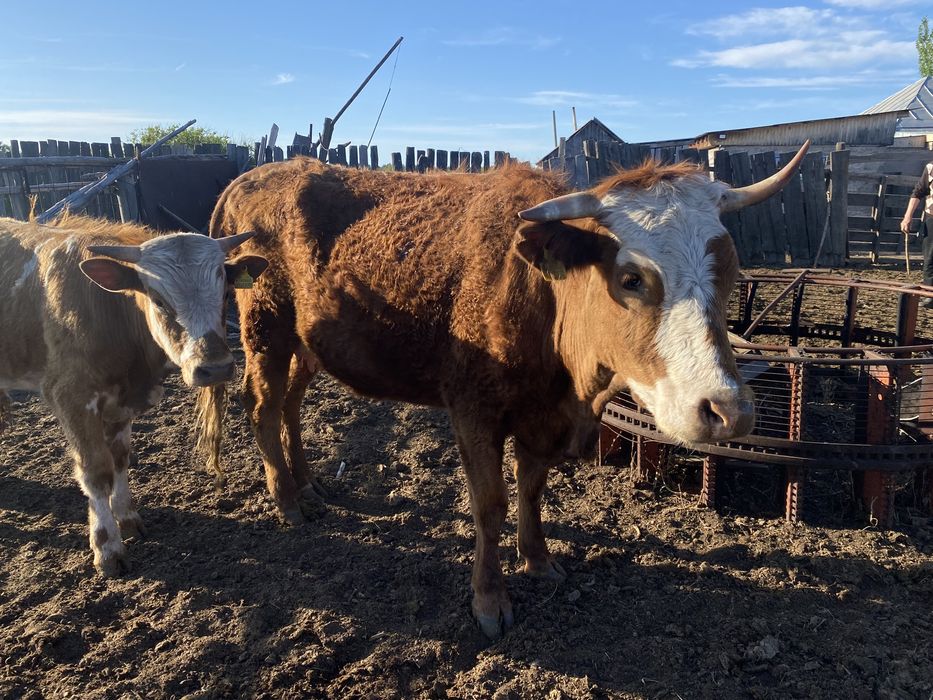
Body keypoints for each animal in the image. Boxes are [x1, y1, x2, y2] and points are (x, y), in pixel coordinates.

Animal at [0, 214, 267, 576]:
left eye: (225, 292)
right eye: (157, 299)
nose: (215, 368)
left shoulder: (121, 404)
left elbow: (120, 459)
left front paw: (126, 518)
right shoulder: (71, 397)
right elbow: (96, 472)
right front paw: (107, 546)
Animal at [200, 142, 808, 637]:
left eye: (730, 274)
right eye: (631, 278)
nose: (727, 410)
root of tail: (249, 178)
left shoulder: (546, 417)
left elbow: (533, 489)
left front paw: (537, 559)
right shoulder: (473, 410)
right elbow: (489, 505)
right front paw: (490, 599)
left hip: (309, 344)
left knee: (292, 405)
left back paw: (309, 485)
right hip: (266, 327)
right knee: (263, 405)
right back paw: (286, 499)